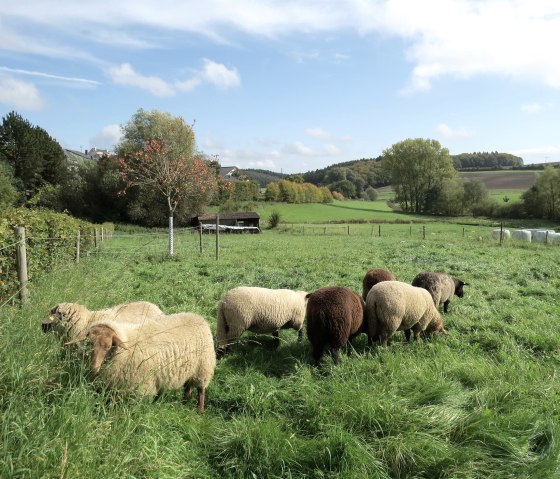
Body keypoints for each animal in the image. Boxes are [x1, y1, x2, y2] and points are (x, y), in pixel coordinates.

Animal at [65, 316, 214, 412]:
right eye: (89, 343)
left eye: (108, 347)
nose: (93, 368)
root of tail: (200, 318)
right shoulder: (115, 386)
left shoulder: (141, 387)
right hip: (190, 370)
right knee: (188, 387)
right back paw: (184, 402)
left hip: (203, 368)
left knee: (201, 390)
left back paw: (200, 411)